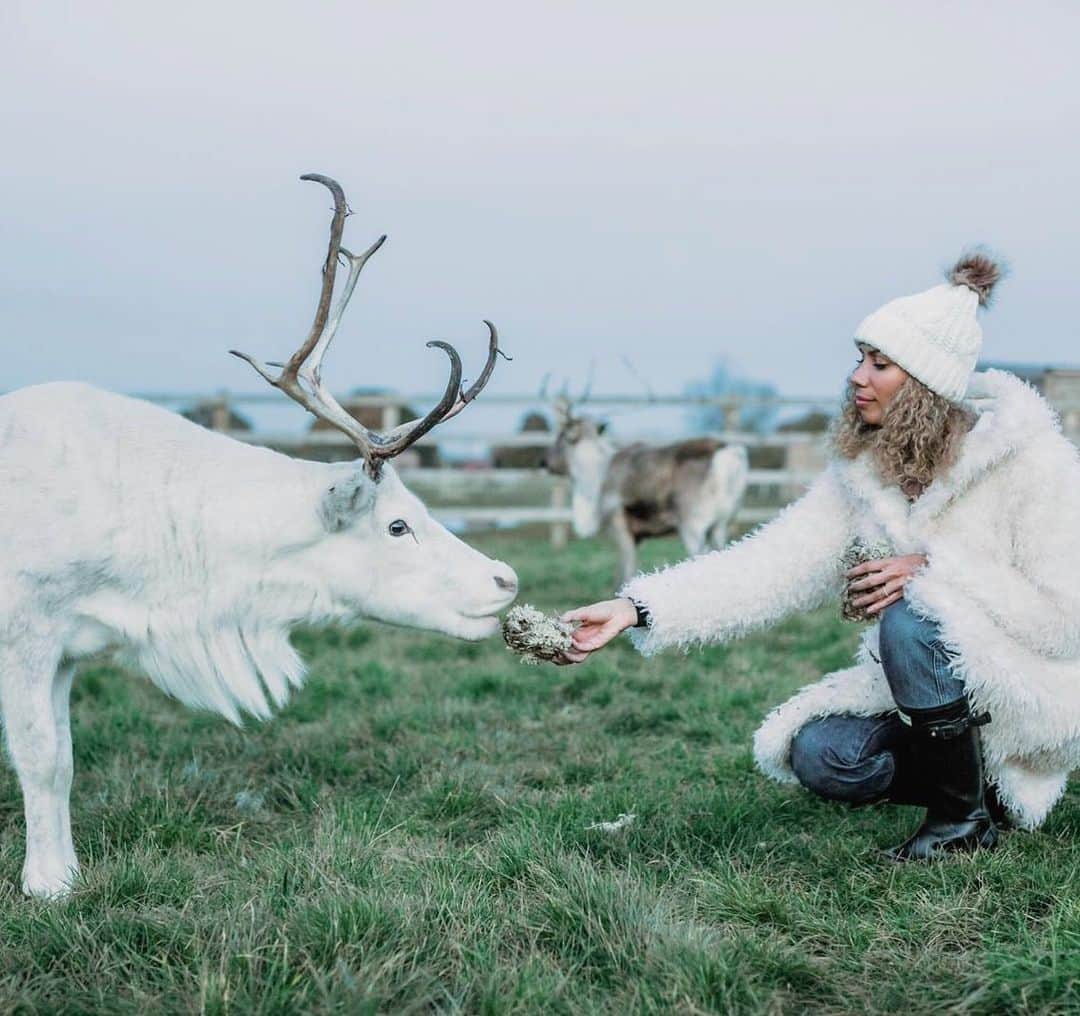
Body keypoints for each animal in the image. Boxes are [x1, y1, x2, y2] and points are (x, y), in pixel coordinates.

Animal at [0, 174, 519, 899]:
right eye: (397, 524)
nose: (506, 578)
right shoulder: (24, 634)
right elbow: (42, 756)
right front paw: (48, 883)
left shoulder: (70, 649)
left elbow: (67, 759)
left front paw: (67, 868)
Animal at [543, 395, 749, 587]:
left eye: (561, 438)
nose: (543, 462)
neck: (595, 479)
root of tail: (729, 454)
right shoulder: (640, 537)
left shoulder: (620, 526)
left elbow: (624, 576)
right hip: (722, 525)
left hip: (693, 525)